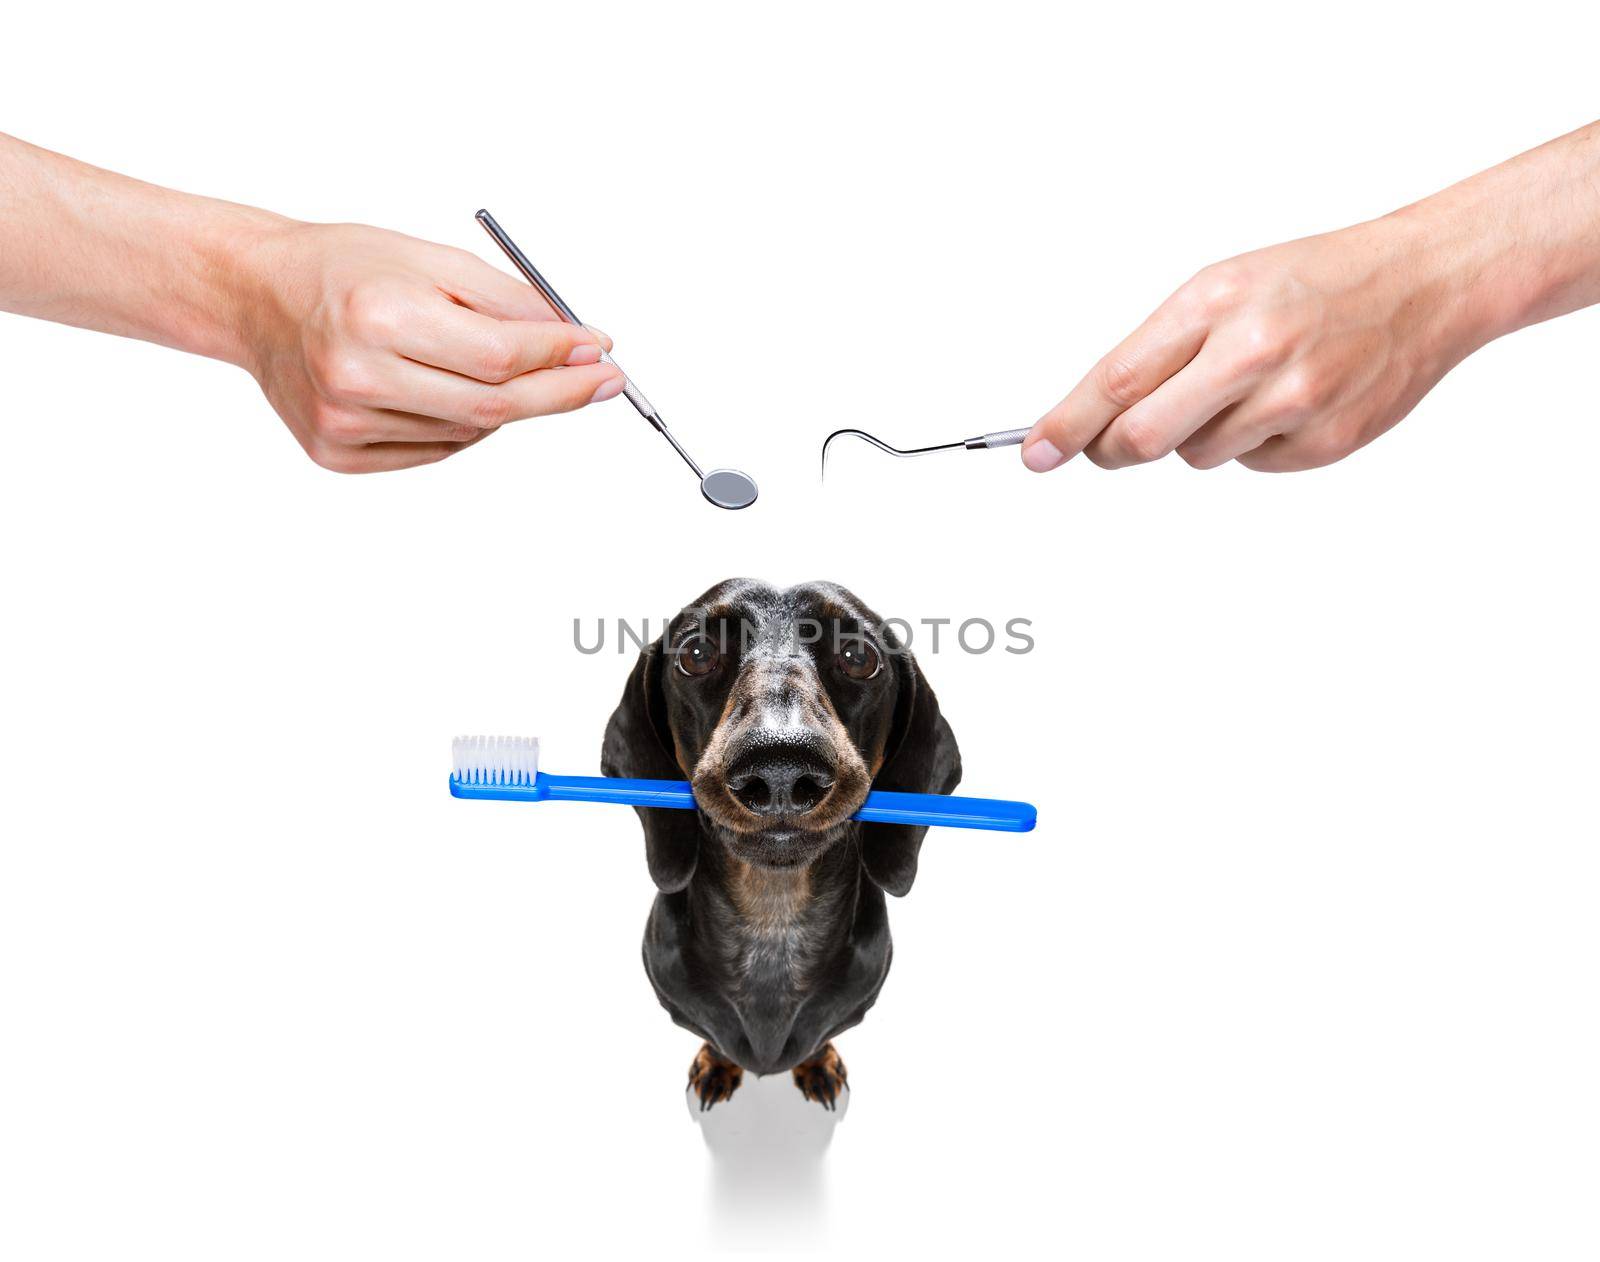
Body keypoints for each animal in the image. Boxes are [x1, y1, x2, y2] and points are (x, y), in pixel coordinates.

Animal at [601, 575, 960, 1106]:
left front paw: (817, 1063)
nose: (780, 769)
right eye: (697, 652)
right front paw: (717, 1063)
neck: (774, 924)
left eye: (858, 656)